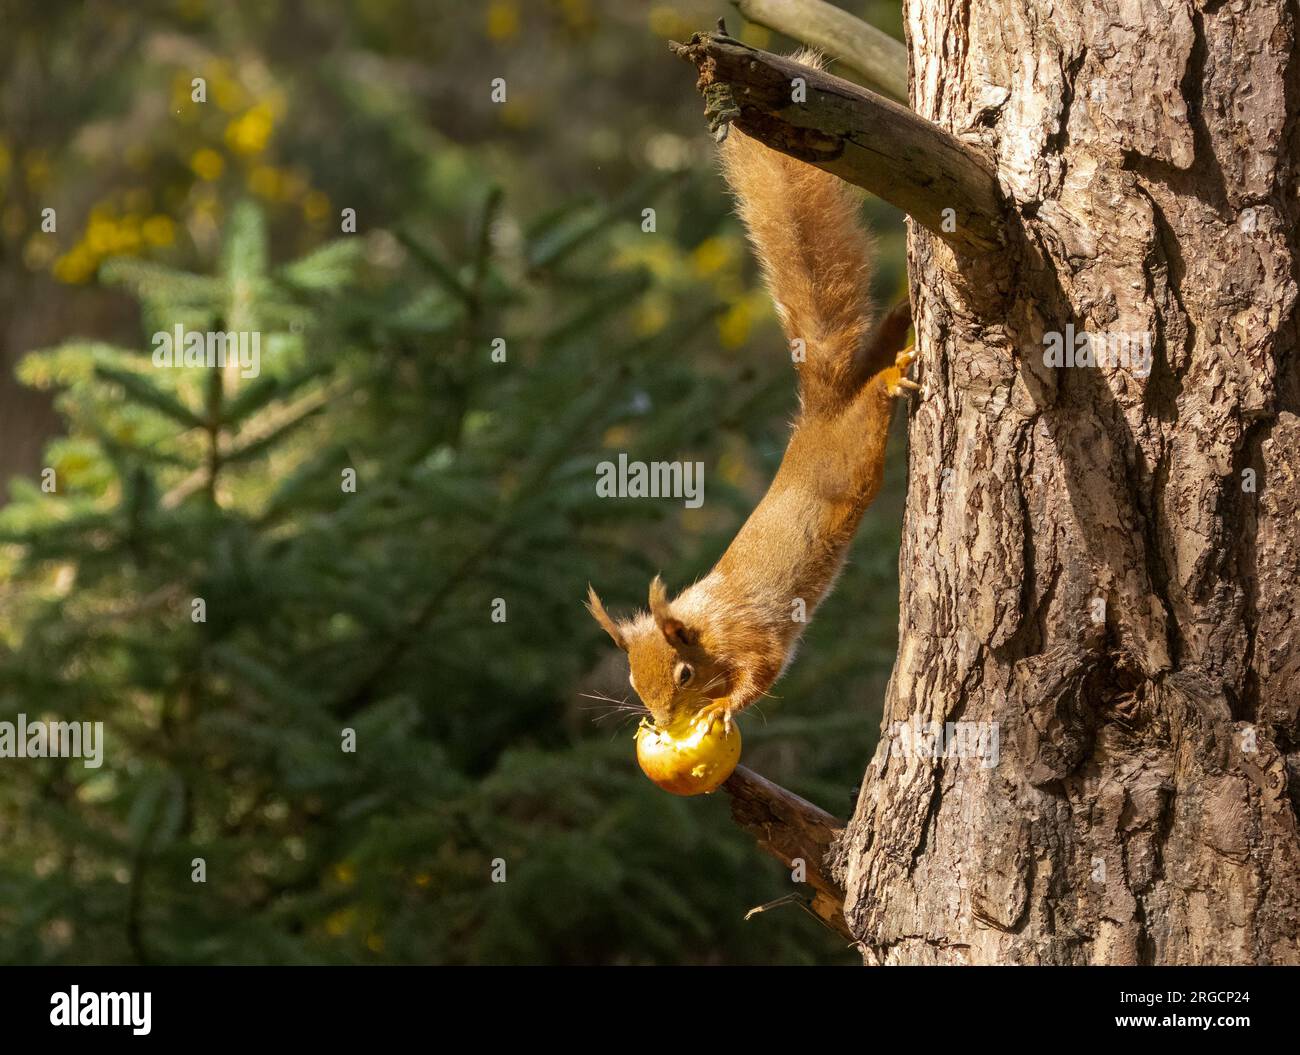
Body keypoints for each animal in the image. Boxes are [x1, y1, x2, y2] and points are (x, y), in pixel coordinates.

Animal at [587, 53, 916, 734]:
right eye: (632, 682)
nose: (662, 723)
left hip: (854, 450)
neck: (707, 627)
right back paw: (901, 315)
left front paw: (723, 707)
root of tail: (822, 409)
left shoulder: (754, 637)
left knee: (873, 399)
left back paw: (891, 378)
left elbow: (761, 676)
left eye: (684, 675)